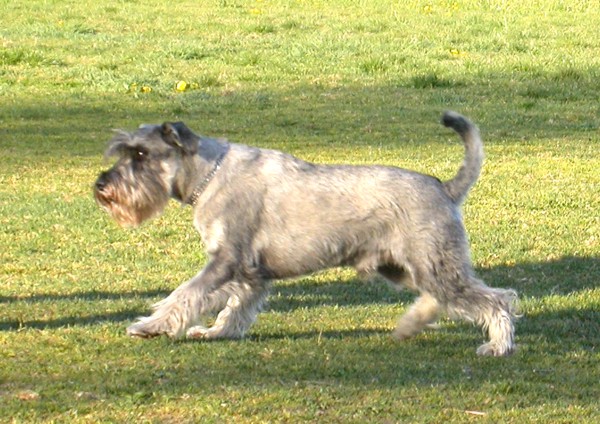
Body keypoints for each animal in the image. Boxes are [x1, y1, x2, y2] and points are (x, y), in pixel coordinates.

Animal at [94, 112, 516, 354]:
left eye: (141, 154)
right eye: (123, 151)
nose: (101, 186)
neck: (207, 175)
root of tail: (444, 187)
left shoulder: (226, 260)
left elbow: (185, 295)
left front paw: (150, 326)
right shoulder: (248, 272)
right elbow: (233, 306)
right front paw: (217, 332)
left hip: (432, 264)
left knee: (497, 299)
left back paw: (498, 346)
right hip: (403, 267)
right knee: (443, 298)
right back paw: (413, 323)